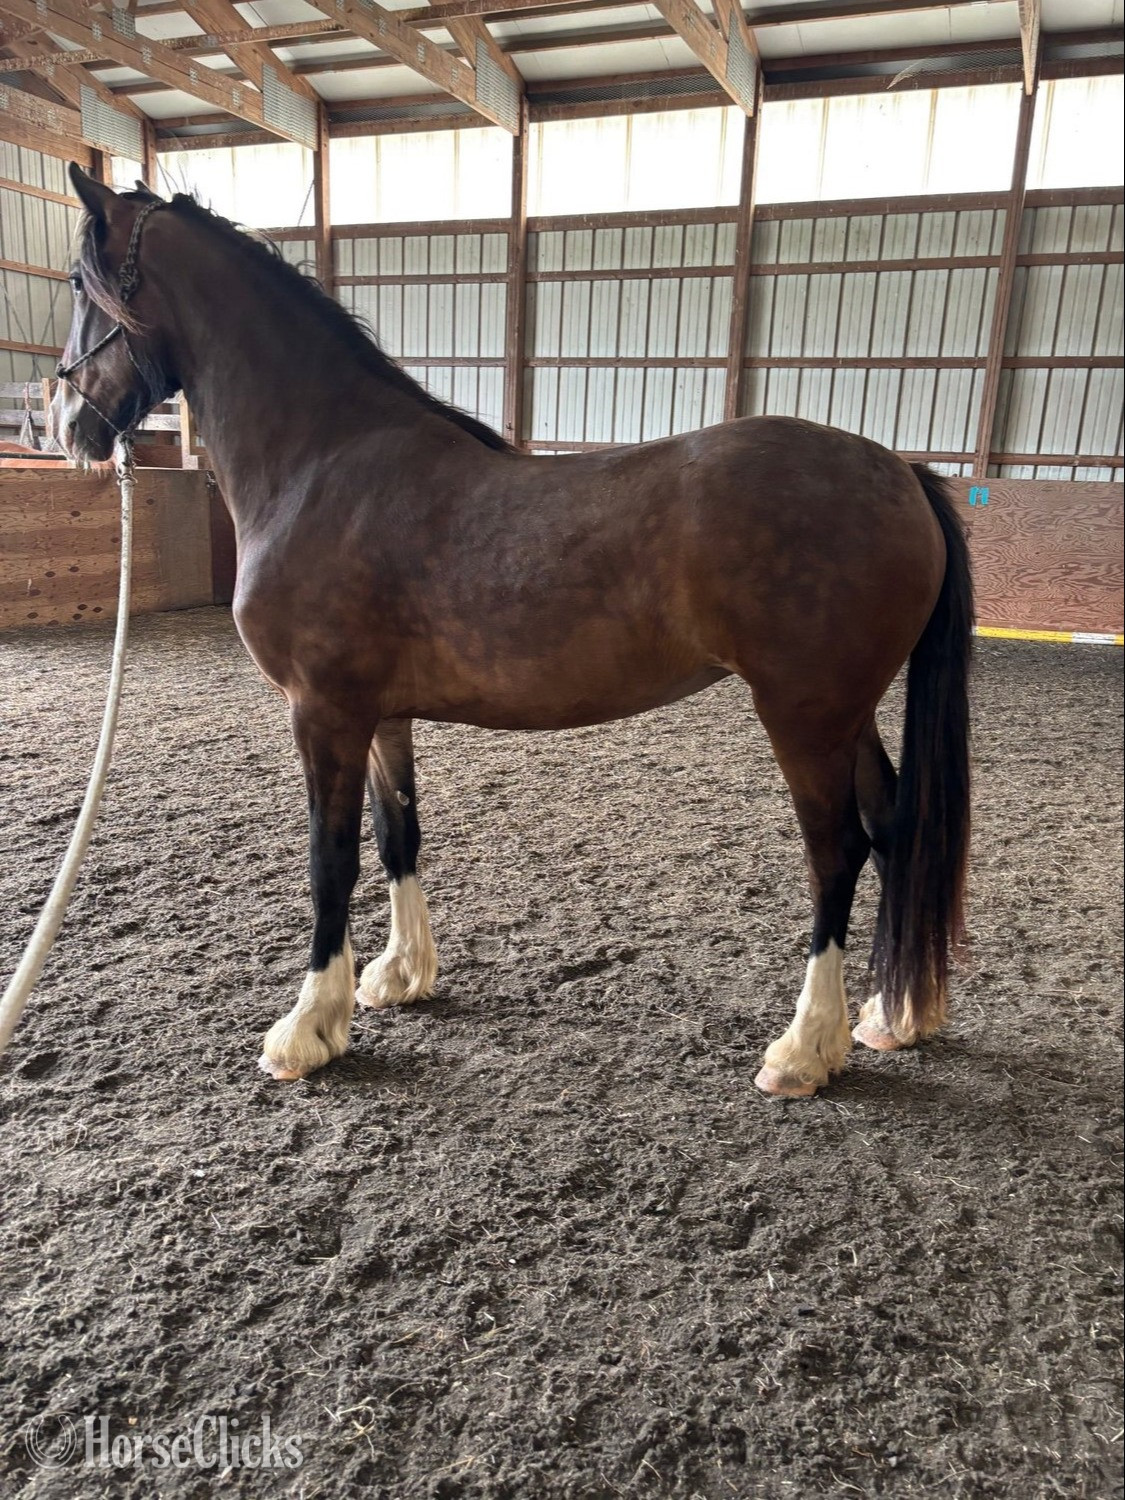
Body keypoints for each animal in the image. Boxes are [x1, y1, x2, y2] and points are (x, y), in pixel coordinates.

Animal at [51, 166, 972, 1099]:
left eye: (78, 285)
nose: (67, 425)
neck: (322, 463)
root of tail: (900, 472)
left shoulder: (321, 712)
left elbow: (329, 859)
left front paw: (308, 1029)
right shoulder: (381, 716)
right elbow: (398, 835)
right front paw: (398, 976)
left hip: (802, 714)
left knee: (838, 851)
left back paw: (803, 1048)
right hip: (844, 713)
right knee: (892, 827)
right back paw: (889, 1016)